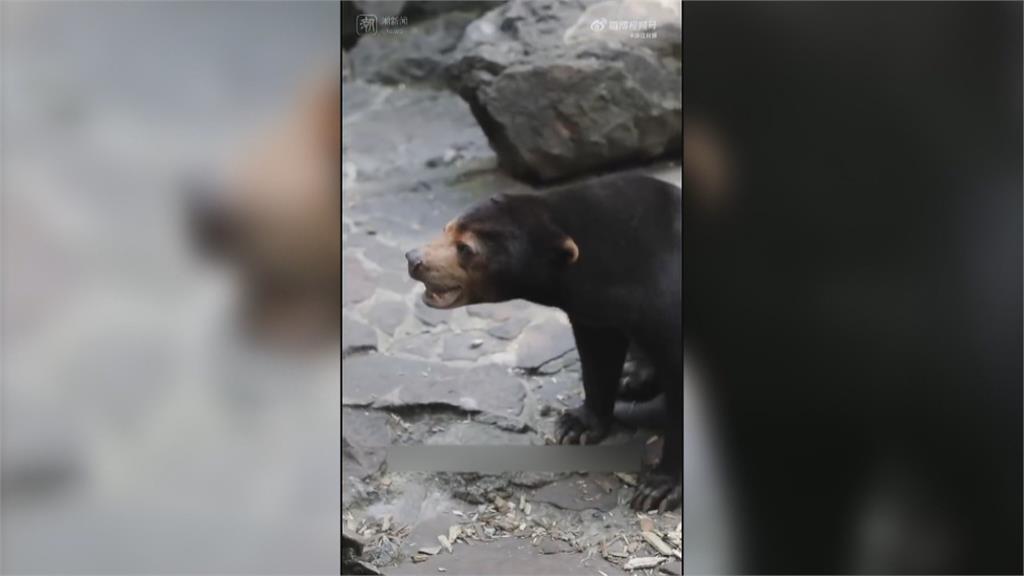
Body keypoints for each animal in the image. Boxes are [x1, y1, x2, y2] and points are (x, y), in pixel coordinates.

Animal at [405, 173, 682, 511]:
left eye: (466, 248)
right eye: (447, 228)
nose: (414, 259)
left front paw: (660, 487)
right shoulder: (595, 312)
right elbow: (597, 359)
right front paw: (577, 425)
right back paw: (632, 379)